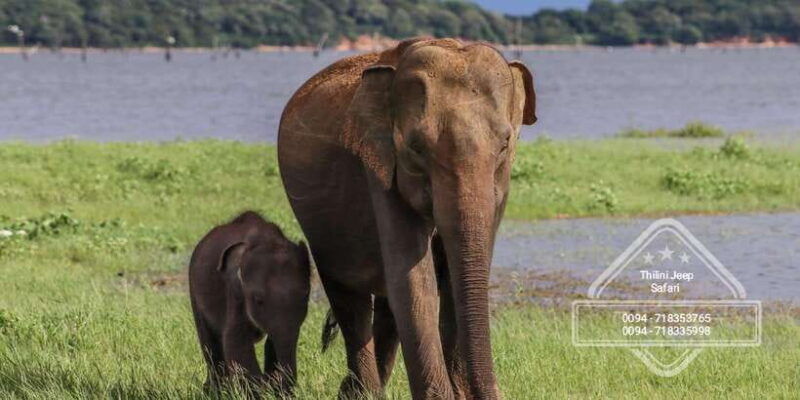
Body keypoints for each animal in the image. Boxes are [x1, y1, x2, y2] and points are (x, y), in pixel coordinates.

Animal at [189, 211, 311, 396]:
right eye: (258, 300)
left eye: (305, 296)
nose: (277, 385)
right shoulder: (235, 293)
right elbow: (235, 341)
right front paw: (258, 391)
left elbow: (274, 342)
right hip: (195, 293)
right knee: (210, 343)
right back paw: (215, 392)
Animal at [278, 37, 536, 399]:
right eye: (416, 148)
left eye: (504, 144)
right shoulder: (378, 166)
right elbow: (415, 278)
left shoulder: (501, 186)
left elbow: (458, 275)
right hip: (321, 230)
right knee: (350, 302)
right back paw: (363, 393)